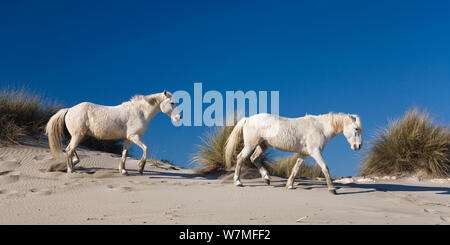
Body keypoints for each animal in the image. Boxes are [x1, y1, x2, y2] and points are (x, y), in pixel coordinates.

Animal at [44, 90, 180, 174]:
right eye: (172, 103)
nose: (179, 117)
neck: (139, 112)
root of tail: (70, 109)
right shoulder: (134, 136)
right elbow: (146, 148)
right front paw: (140, 168)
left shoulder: (128, 139)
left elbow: (124, 154)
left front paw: (123, 171)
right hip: (78, 135)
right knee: (69, 150)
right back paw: (71, 170)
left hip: (81, 136)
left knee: (71, 149)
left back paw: (74, 163)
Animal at [225, 112, 362, 194]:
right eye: (356, 129)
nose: (358, 146)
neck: (320, 127)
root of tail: (248, 119)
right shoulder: (315, 152)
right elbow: (325, 167)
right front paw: (332, 189)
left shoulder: (304, 154)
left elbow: (296, 168)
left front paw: (289, 185)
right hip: (251, 145)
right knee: (241, 158)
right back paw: (238, 182)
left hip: (263, 145)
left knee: (254, 158)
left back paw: (267, 178)